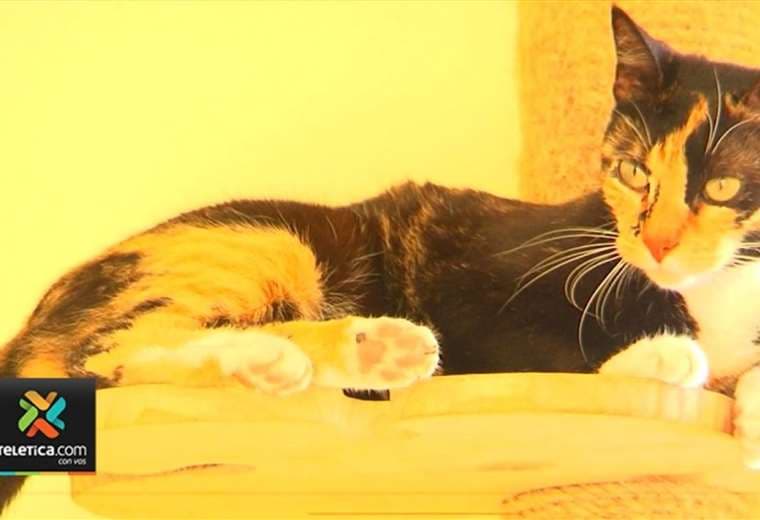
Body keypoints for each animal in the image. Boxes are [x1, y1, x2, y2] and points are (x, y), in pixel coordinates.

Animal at [2, 5, 760, 513]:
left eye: (723, 187)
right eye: (633, 172)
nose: (656, 244)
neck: (721, 290)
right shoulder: (490, 279)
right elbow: (549, 347)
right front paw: (664, 355)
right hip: (272, 242)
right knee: (109, 354)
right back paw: (324, 350)